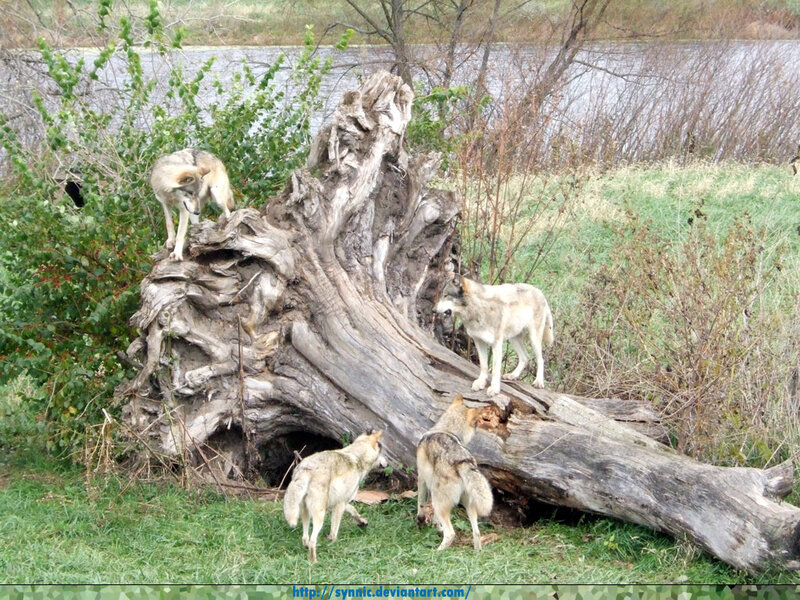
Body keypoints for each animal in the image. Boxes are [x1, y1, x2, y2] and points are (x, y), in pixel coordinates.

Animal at [283, 430, 386, 563]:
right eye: (382, 452)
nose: (386, 463)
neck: (357, 457)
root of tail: (306, 468)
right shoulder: (340, 504)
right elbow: (334, 532)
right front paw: (333, 543)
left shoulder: (340, 502)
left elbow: (353, 509)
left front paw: (361, 521)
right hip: (319, 516)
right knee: (312, 540)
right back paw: (314, 561)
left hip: (306, 513)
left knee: (305, 537)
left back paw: (306, 549)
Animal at [416, 394, 493, 551]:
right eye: (477, 423)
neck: (447, 430)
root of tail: (462, 461)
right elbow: (434, 517)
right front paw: (435, 526)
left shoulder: (421, 479)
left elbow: (421, 505)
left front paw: (421, 521)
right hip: (468, 505)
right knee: (477, 532)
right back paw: (477, 553)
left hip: (440, 502)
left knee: (451, 534)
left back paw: (436, 552)